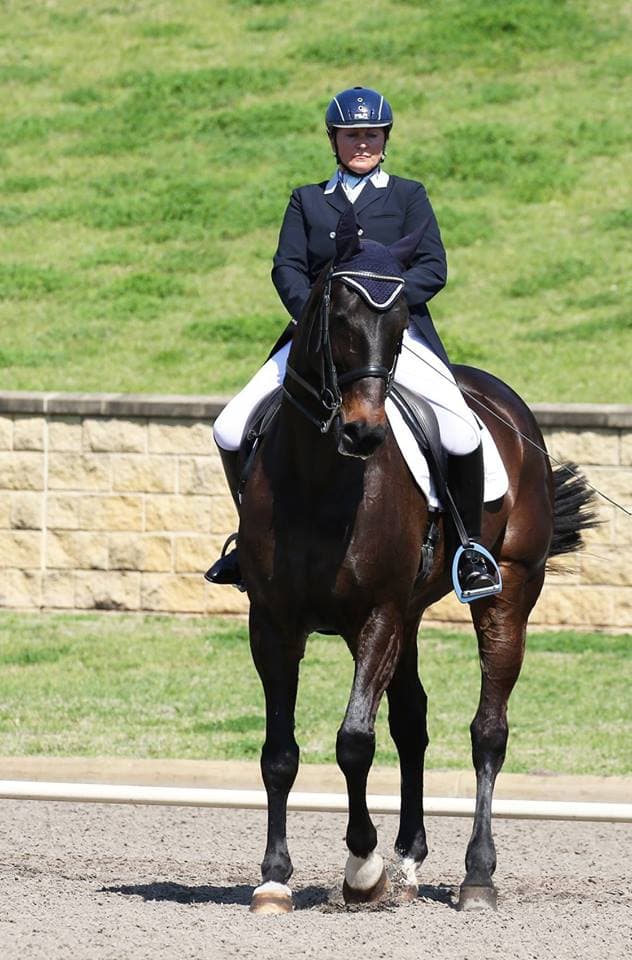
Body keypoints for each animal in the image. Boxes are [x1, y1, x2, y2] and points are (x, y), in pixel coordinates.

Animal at [236, 208, 595, 915]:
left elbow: (354, 740)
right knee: (413, 722)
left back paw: (476, 875)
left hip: (508, 592)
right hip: (408, 615)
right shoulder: (274, 621)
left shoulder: (375, 614)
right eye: (340, 316)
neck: (319, 479)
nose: (364, 432)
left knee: (488, 729)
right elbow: (279, 752)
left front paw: (362, 869)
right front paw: (275, 877)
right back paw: (408, 857)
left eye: (403, 321)